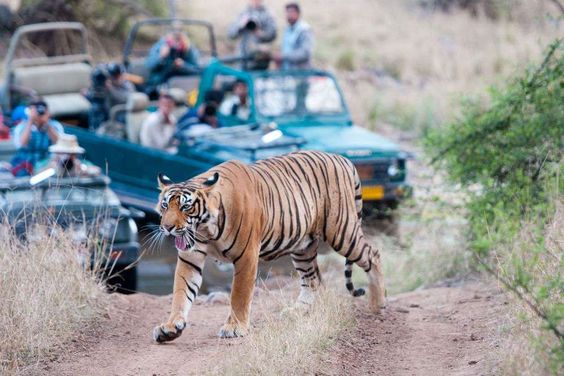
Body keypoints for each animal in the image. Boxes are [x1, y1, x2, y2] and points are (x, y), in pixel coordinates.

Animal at [152, 151, 386, 344]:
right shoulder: (190, 257)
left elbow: (239, 294)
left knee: (373, 254)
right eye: (165, 205)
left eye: (186, 207)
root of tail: (343, 158)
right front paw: (170, 327)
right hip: (303, 246)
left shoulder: (246, 256)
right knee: (312, 279)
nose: (167, 227)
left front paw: (235, 327)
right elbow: (181, 292)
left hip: (342, 231)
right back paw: (296, 311)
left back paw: (378, 304)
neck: (205, 229)